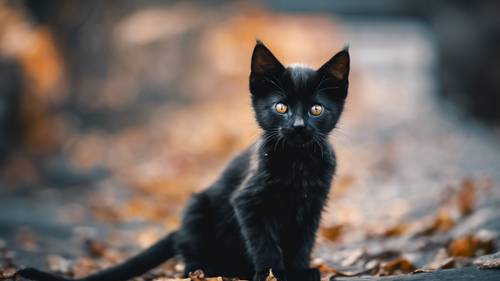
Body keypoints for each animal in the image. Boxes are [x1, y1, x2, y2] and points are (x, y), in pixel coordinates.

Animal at [17, 40, 350, 280]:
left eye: (316, 110)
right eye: (281, 107)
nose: (298, 126)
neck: (298, 162)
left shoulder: (312, 205)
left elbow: (303, 241)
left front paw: (301, 271)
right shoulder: (249, 203)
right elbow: (264, 242)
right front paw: (273, 274)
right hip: (197, 207)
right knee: (188, 253)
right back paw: (206, 270)